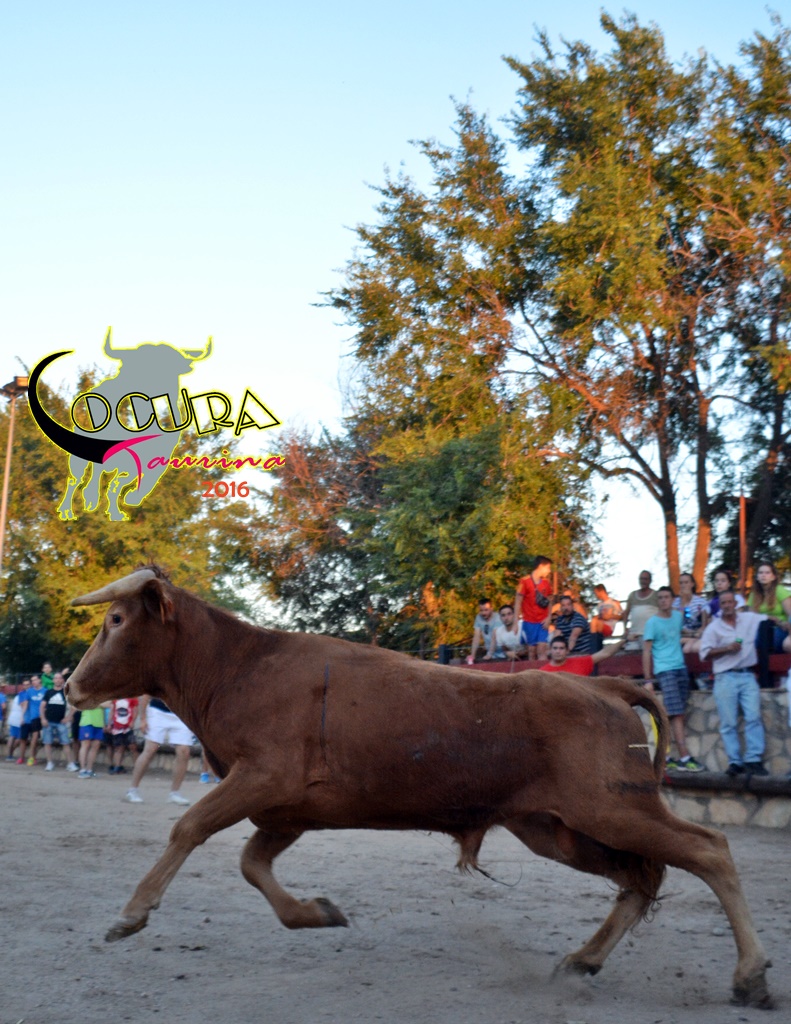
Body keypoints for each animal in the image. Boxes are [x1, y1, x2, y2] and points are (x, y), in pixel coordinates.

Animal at [64, 566, 771, 1007]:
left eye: (118, 619)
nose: (69, 686)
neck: (238, 666)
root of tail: (608, 687)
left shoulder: (263, 776)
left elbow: (192, 827)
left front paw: (130, 916)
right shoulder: (286, 808)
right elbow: (251, 863)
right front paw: (320, 912)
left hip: (610, 808)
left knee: (708, 849)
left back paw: (751, 977)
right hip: (557, 830)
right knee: (636, 880)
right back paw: (582, 961)